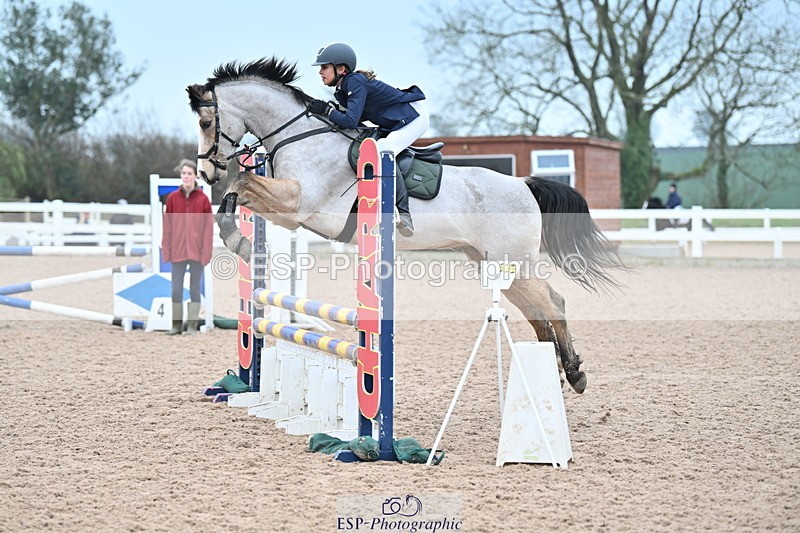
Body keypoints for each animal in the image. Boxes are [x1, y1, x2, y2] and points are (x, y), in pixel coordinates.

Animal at [186, 57, 625, 394]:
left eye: (207, 123)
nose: (207, 172)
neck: (299, 135)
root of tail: (523, 185)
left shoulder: (300, 205)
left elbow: (243, 184)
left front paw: (239, 242)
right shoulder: (286, 210)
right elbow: (238, 193)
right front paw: (241, 242)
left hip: (512, 261)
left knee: (555, 303)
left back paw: (574, 374)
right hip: (494, 264)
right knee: (539, 311)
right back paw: (551, 376)